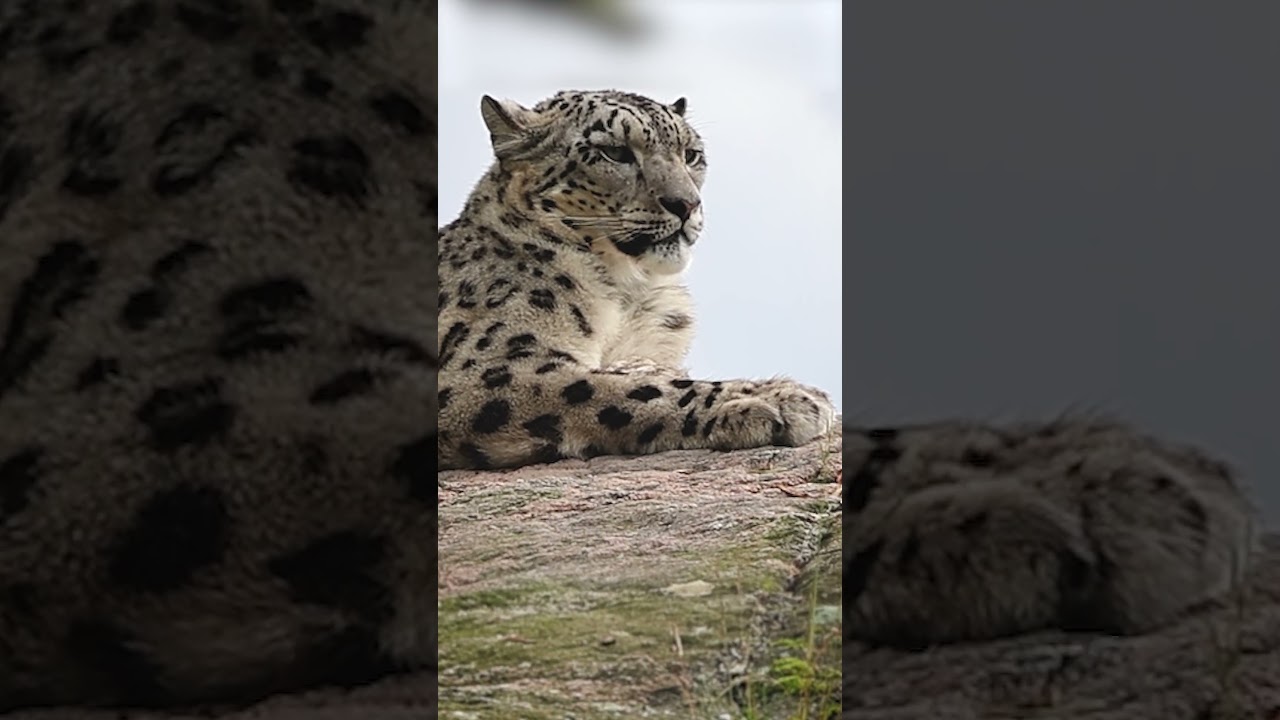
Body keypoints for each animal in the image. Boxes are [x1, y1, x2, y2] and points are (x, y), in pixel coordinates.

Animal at [437, 89, 837, 471]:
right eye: (615, 152)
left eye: (691, 154)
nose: (686, 204)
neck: (631, 293)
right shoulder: (484, 372)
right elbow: (625, 387)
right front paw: (775, 397)